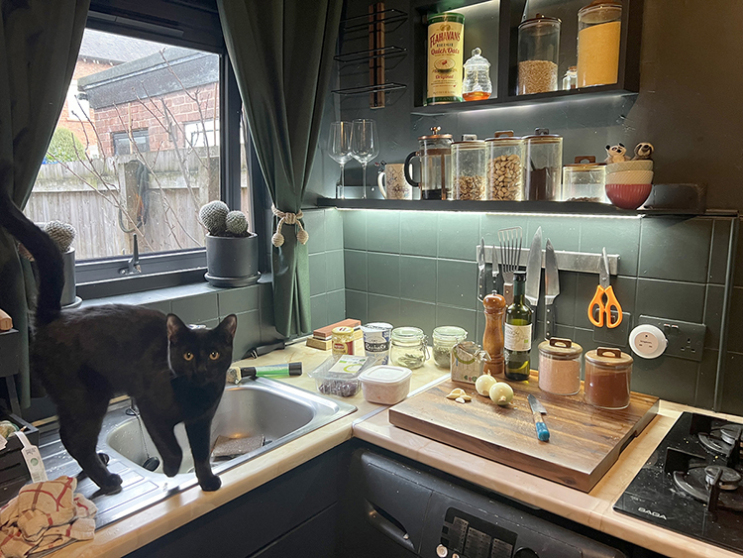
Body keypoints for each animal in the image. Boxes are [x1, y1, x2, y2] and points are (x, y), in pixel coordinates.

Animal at [0, 163, 236, 494]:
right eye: (188, 356)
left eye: (214, 354)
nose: (201, 369)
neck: (195, 393)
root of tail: (54, 317)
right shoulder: (150, 408)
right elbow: (174, 448)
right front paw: (171, 470)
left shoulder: (201, 421)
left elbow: (201, 452)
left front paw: (207, 481)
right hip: (86, 397)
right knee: (75, 440)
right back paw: (108, 480)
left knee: (70, 437)